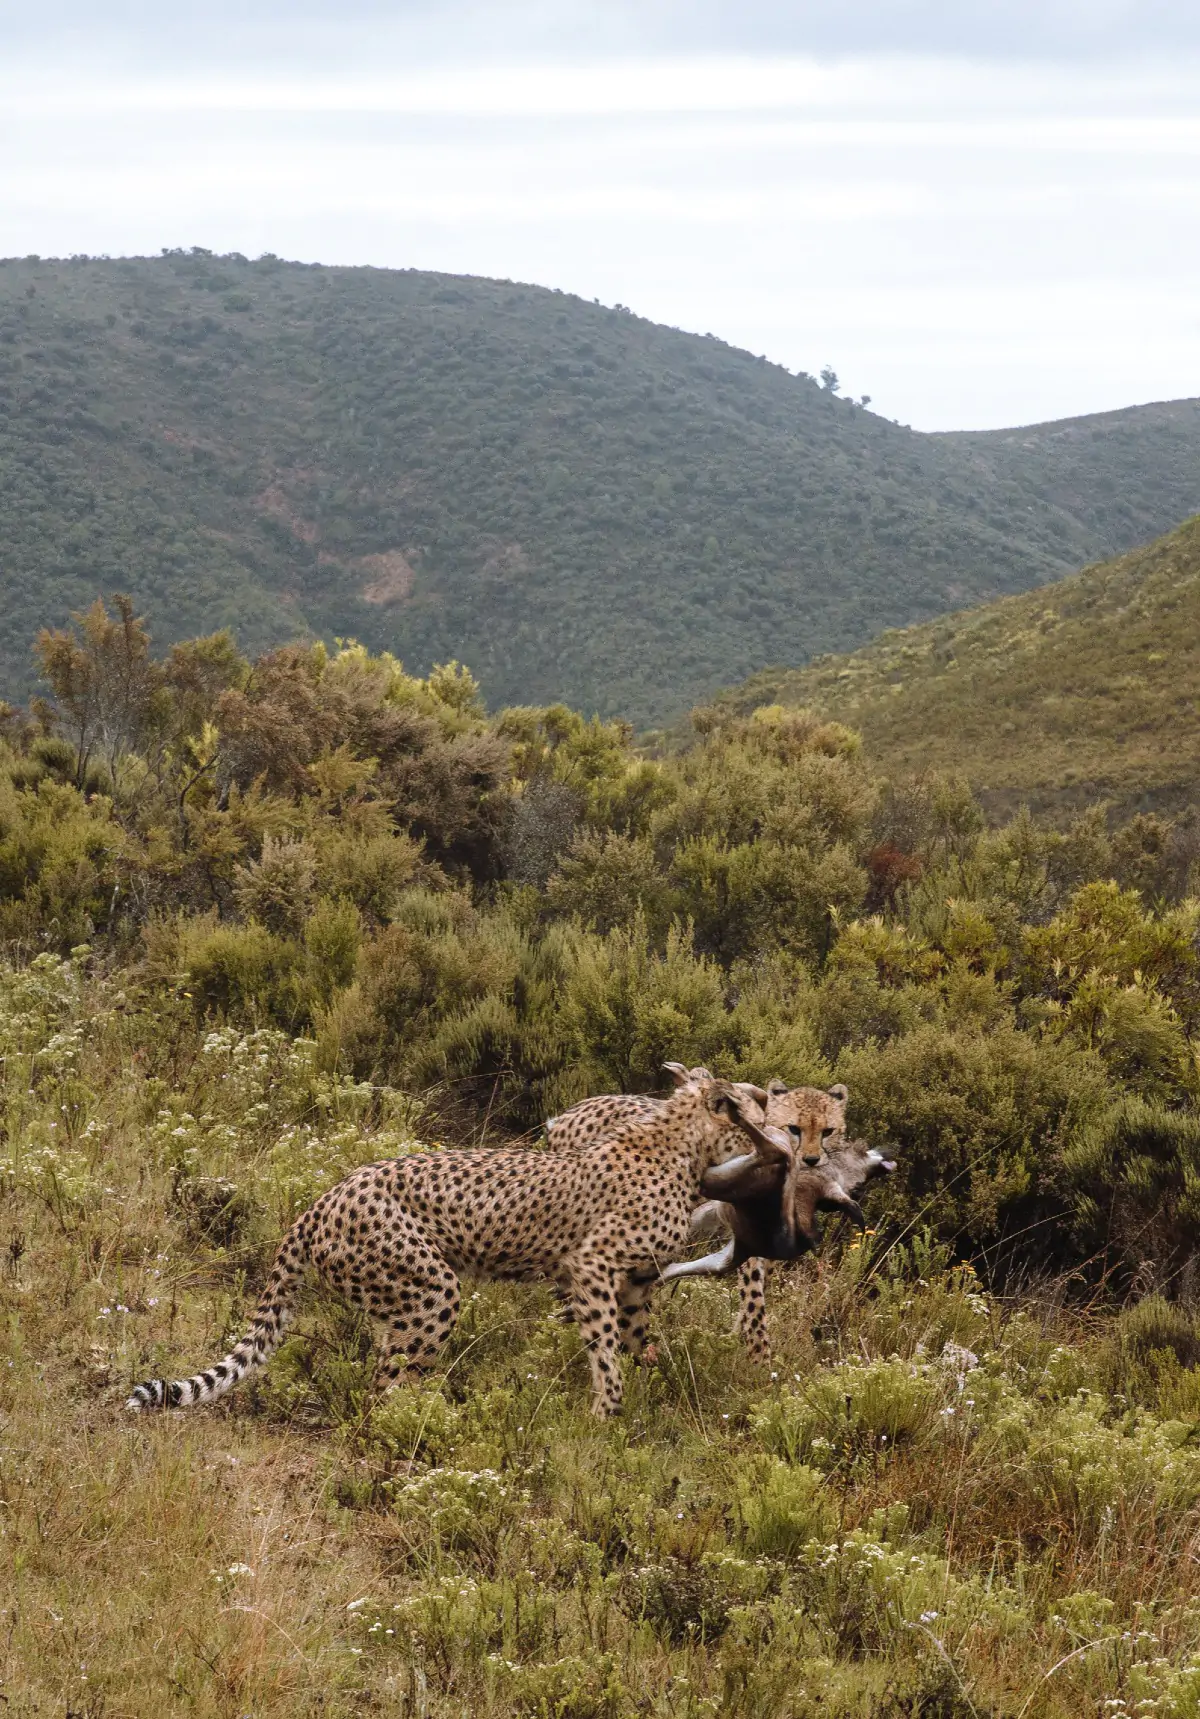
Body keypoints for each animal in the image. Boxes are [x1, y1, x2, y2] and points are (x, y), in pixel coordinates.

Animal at [126, 1072, 783, 1423]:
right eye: (754, 1108)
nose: (784, 1144)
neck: (684, 1150)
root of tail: (322, 1198)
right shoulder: (589, 1264)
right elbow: (604, 1351)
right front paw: (605, 1416)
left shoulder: (636, 1276)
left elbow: (642, 1343)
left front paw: (658, 1389)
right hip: (429, 1288)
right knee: (384, 1388)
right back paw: (424, 1438)